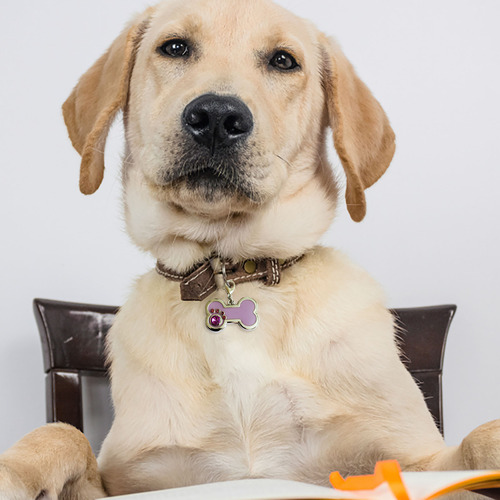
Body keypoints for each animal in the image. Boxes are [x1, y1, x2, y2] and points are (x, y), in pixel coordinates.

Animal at [0, 0, 500, 498]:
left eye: (283, 60)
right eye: (174, 47)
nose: (217, 118)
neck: (231, 267)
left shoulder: (418, 458)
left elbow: (478, 438)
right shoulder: (132, 481)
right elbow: (63, 431)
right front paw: (15, 470)